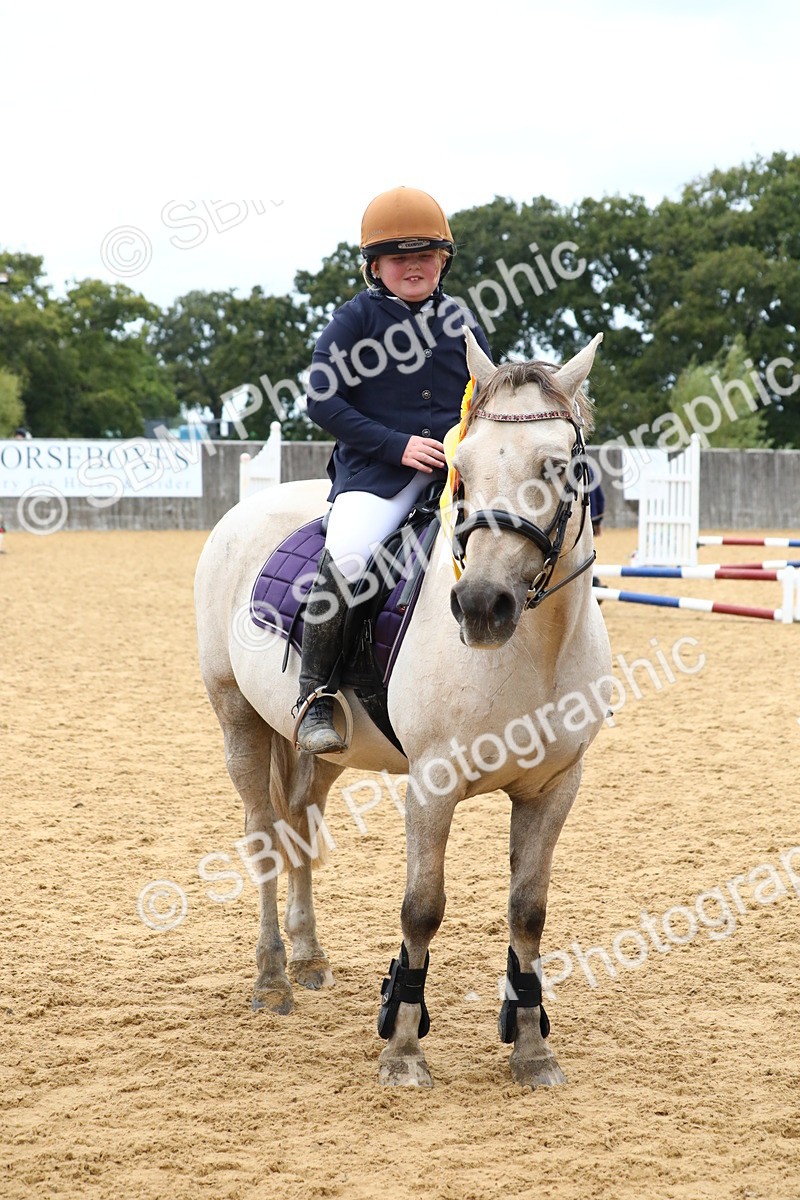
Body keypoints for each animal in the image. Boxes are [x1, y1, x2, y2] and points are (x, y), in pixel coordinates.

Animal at [194, 328, 612, 1089]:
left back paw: (308, 957)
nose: (480, 606)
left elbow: (528, 912)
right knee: (264, 833)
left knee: (300, 822)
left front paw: (531, 1049)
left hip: (324, 747)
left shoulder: (554, 786)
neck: (532, 648)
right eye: (462, 469)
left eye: (558, 466)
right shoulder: (433, 784)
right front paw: (404, 1047)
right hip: (237, 717)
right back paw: (272, 979)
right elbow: (422, 909)